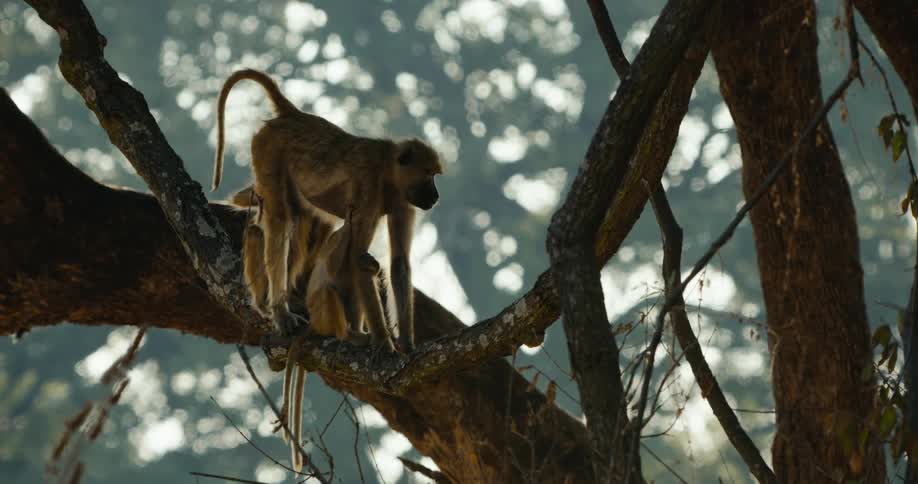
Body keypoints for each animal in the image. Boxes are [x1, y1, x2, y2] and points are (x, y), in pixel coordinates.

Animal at [213, 68, 442, 353]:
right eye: (428, 174)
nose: (435, 197)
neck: (388, 170)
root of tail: (294, 115)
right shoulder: (369, 187)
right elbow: (358, 258)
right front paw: (384, 344)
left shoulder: (403, 202)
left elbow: (398, 263)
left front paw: (407, 345)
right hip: (267, 149)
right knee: (281, 221)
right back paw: (277, 310)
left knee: (295, 220)